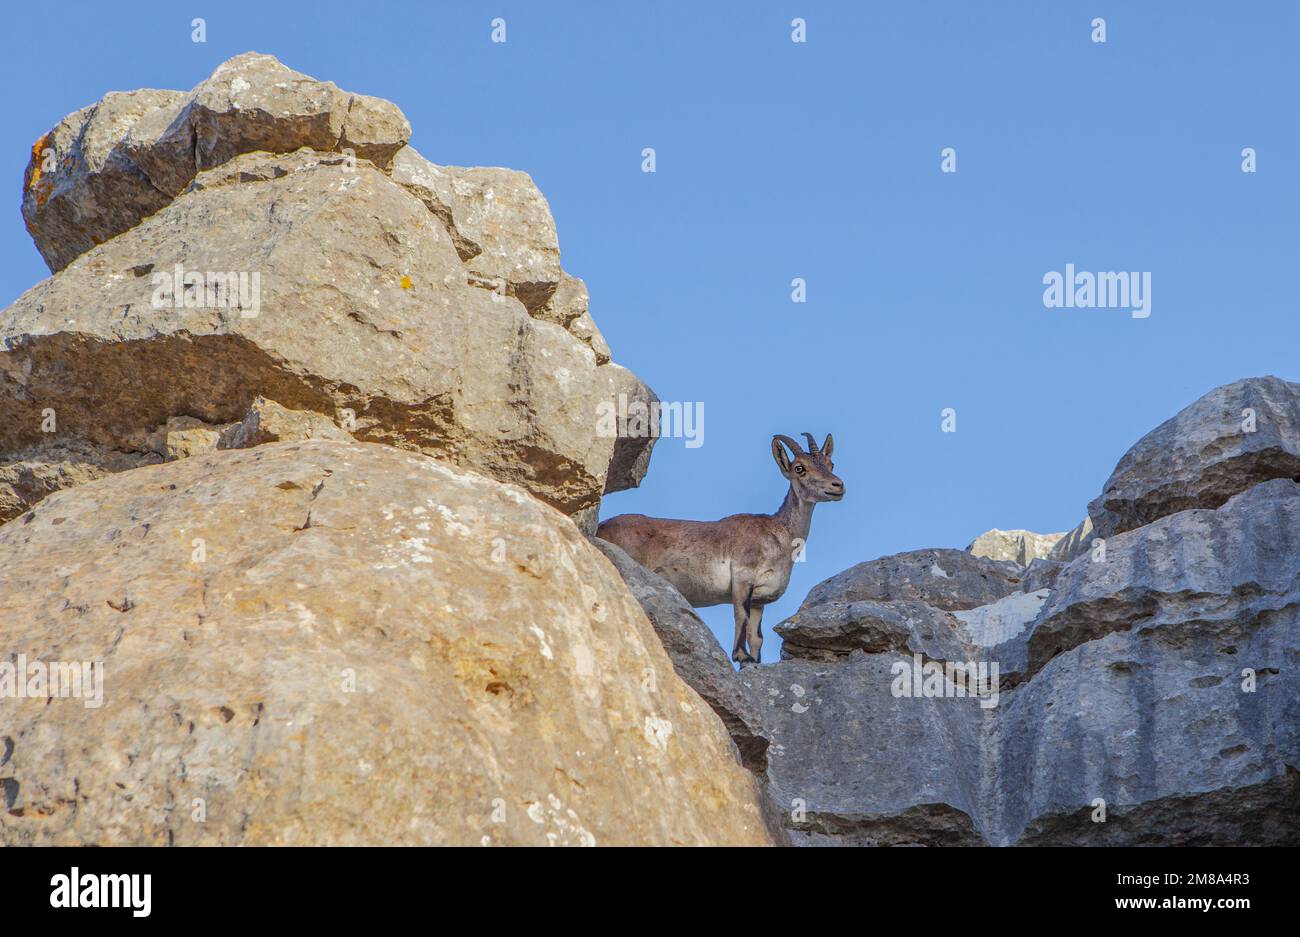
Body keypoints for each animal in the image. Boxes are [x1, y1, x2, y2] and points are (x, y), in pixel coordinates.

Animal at [595, 434, 842, 665]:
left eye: (830, 464)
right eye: (800, 468)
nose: (838, 486)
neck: (777, 535)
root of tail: (601, 526)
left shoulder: (759, 600)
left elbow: (756, 637)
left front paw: (752, 663)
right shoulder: (742, 578)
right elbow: (740, 617)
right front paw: (740, 656)